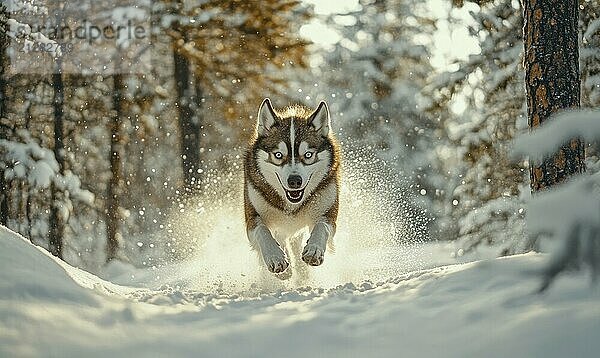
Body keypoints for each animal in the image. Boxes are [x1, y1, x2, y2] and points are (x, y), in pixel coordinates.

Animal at [243, 98, 338, 274]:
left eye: (308, 155)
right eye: (278, 155)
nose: (294, 181)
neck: (292, 206)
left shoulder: (328, 214)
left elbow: (322, 226)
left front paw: (314, 250)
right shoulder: (252, 218)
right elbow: (263, 231)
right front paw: (276, 257)